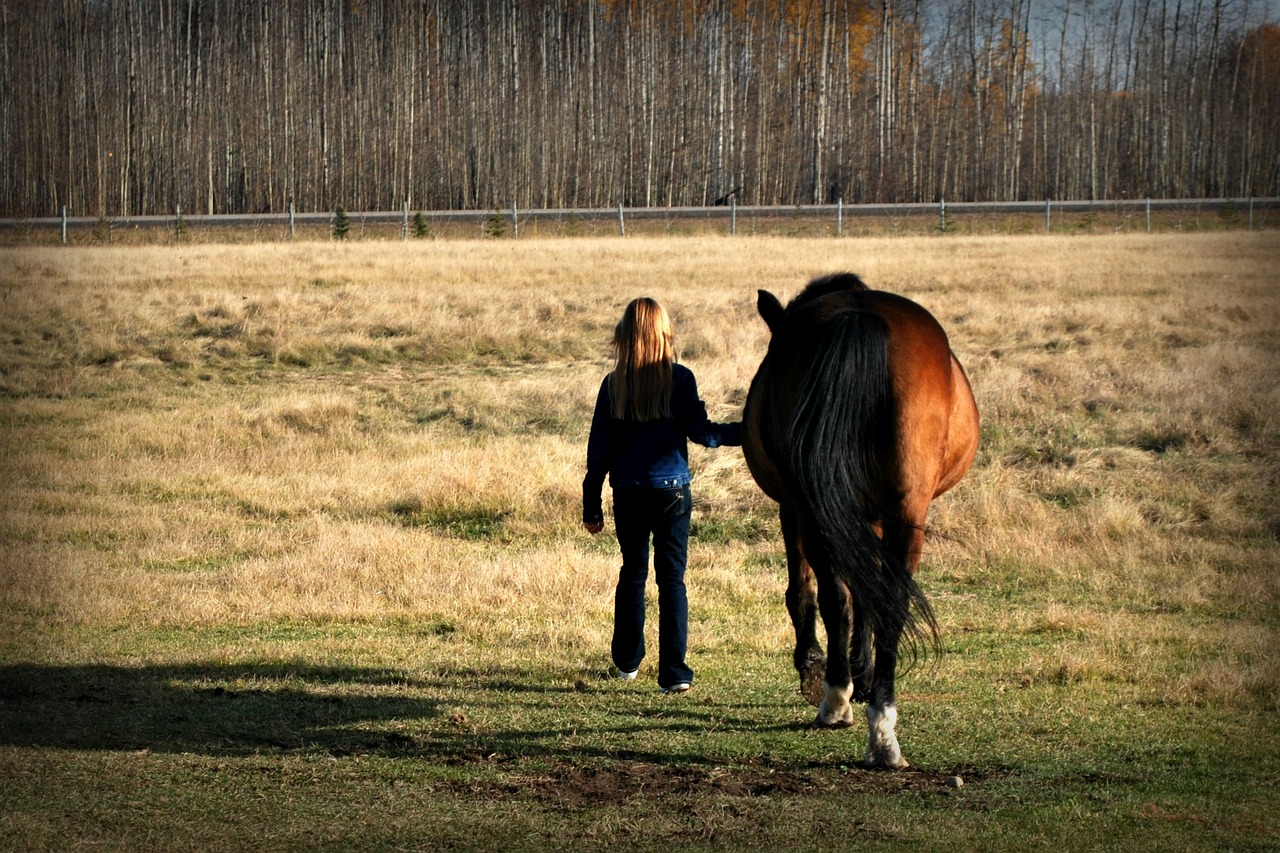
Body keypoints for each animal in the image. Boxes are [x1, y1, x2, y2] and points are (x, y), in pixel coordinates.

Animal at [742, 274, 977, 768]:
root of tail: (859, 315)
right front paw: (857, 674)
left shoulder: (795, 508)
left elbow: (808, 590)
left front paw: (820, 668)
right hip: (904, 512)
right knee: (886, 599)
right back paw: (879, 724)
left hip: (818, 509)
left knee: (842, 595)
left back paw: (839, 700)